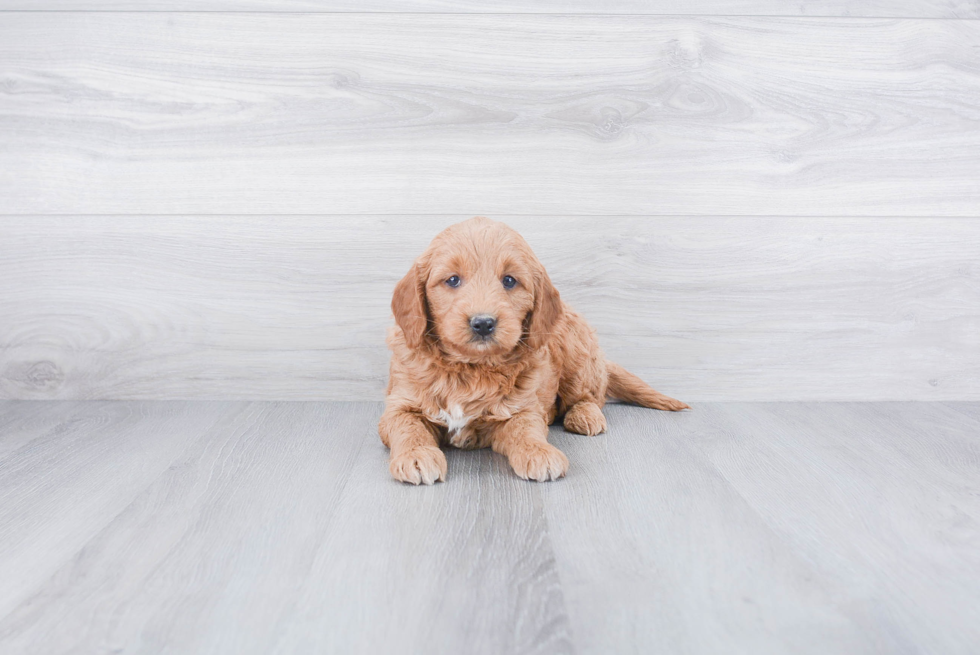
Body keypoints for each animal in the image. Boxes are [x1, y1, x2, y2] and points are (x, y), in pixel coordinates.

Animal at [378, 218, 688, 484]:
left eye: (509, 281)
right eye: (452, 280)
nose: (483, 323)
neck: (472, 368)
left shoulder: (522, 407)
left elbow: (525, 428)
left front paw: (539, 452)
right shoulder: (399, 405)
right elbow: (408, 426)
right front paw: (417, 455)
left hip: (578, 355)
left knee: (590, 398)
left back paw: (584, 416)